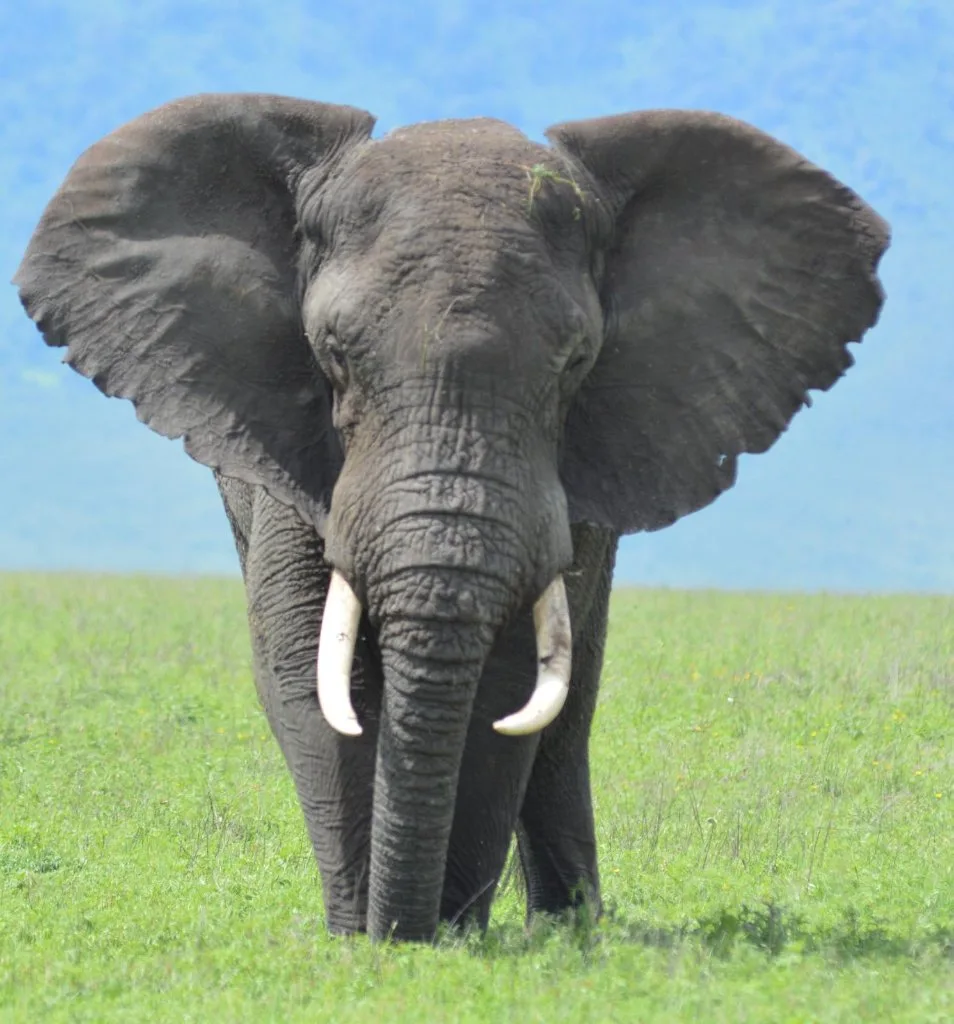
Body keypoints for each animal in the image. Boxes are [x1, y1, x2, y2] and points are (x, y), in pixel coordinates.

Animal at [15, 93, 889, 942]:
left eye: (575, 364)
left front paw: (444, 937)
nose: (402, 927)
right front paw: (364, 935)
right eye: (331, 355)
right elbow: (304, 663)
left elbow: (507, 678)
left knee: (569, 706)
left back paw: (569, 929)